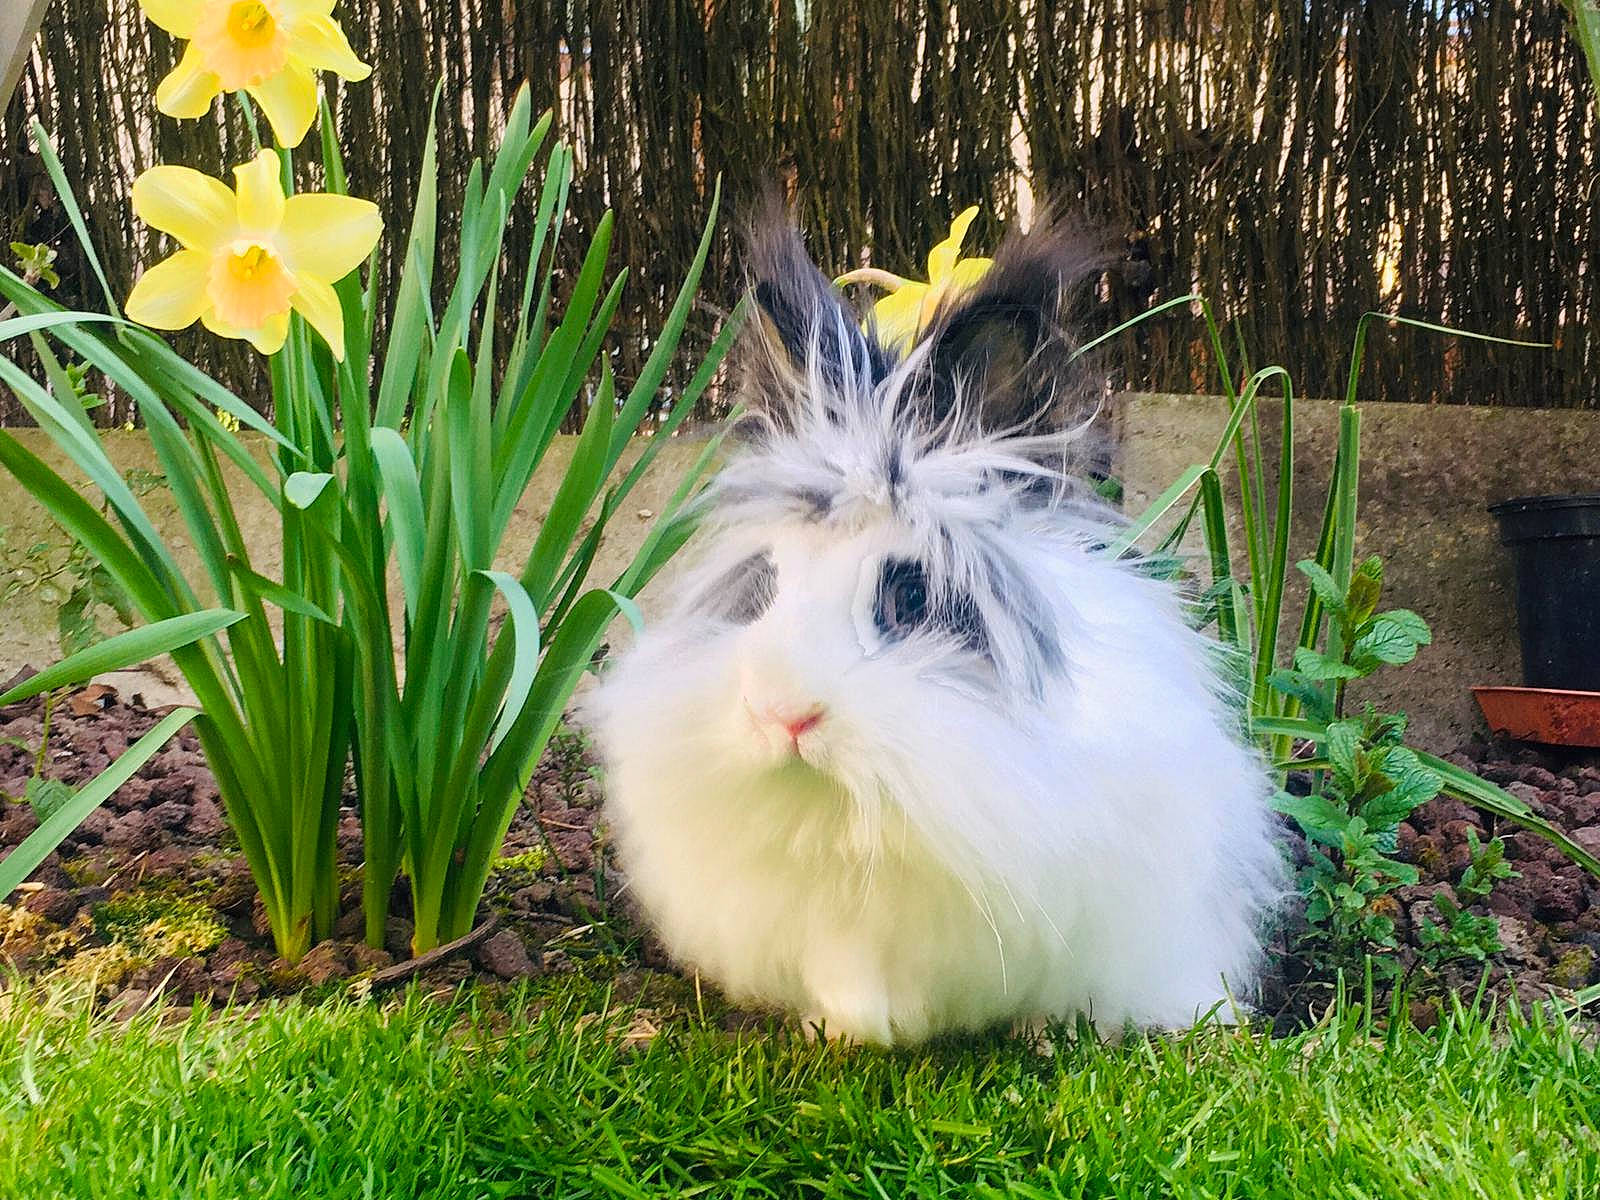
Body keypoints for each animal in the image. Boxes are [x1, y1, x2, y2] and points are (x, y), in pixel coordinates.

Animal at [588, 209, 1284, 1045]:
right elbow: (847, 979)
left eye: (912, 598)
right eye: (766, 585)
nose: (783, 715)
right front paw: (841, 1031)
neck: (848, 804)